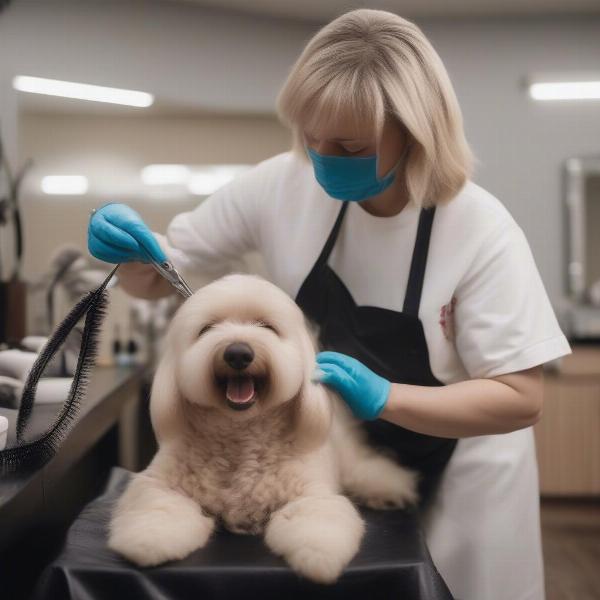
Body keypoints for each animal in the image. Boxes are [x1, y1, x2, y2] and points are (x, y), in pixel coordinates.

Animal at [108, 274, 418, 584]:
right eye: (206, 329)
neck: (240, 438)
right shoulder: (158, 483)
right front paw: (147, 540)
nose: (238, 353)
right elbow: (157, 507)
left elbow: (316, 520)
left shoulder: (312, 492)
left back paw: (387, 488)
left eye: (267, 327)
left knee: (362, 469)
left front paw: (319, 557)